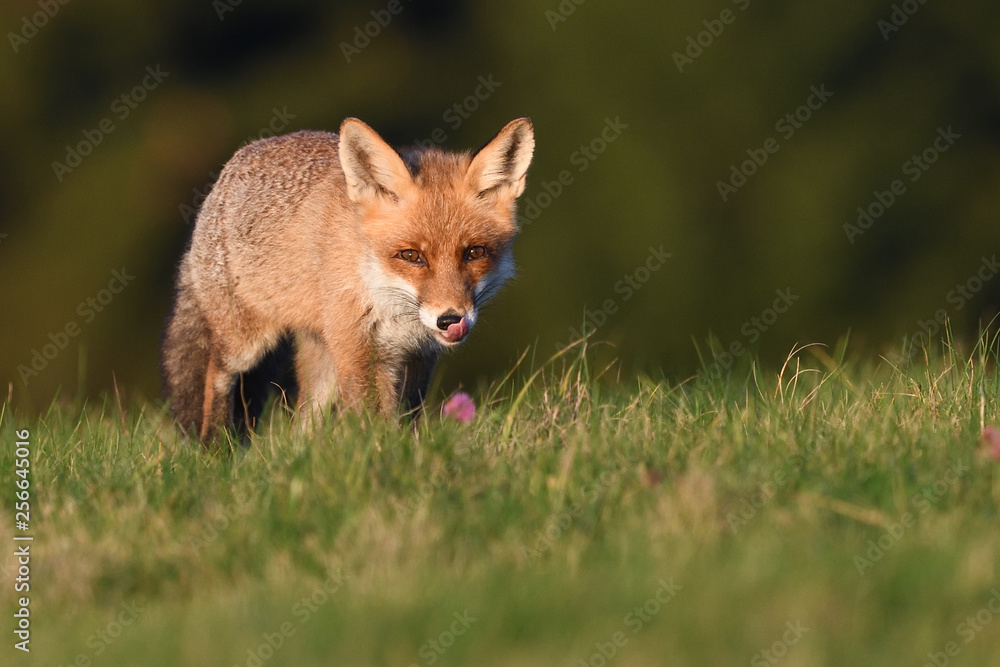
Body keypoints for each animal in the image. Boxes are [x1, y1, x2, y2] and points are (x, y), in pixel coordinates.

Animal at [164, 117, 536, 440]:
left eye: (474, 253)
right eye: (411, 256)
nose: (450, 319)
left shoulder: (418, 356)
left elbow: (408, 415)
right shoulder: (360, 352)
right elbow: (376, 420)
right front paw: (384, 456)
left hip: (323, 360)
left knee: (302, 423)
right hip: (246, 342)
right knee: (216, 376)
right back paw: (215, 447)